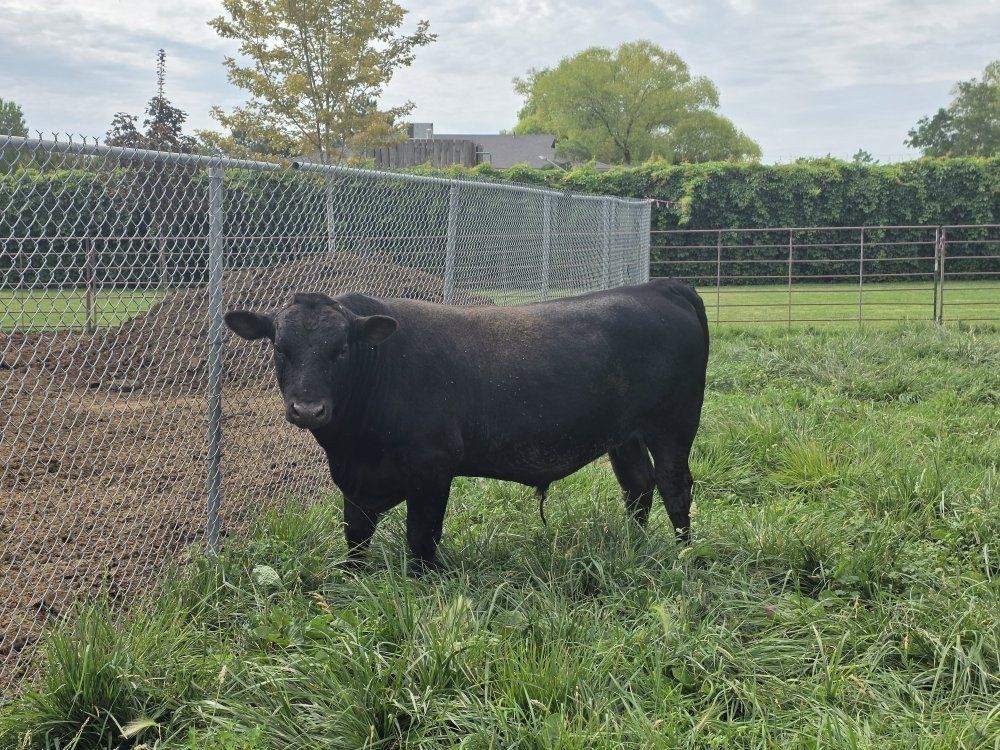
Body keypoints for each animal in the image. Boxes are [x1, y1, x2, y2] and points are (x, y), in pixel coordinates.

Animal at [224, 278, 709, 569]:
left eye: (340, 350)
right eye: (280, 348)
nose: (308, 410)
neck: (351, 446)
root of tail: (658, 286)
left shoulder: (432, 469)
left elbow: (421, 538)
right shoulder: (356, 483)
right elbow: (356, 536)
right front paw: (352, 579)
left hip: (674, 425)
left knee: (674, 485)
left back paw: (682, 553)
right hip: (624, 436)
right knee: (637, 484)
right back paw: (633, 544)